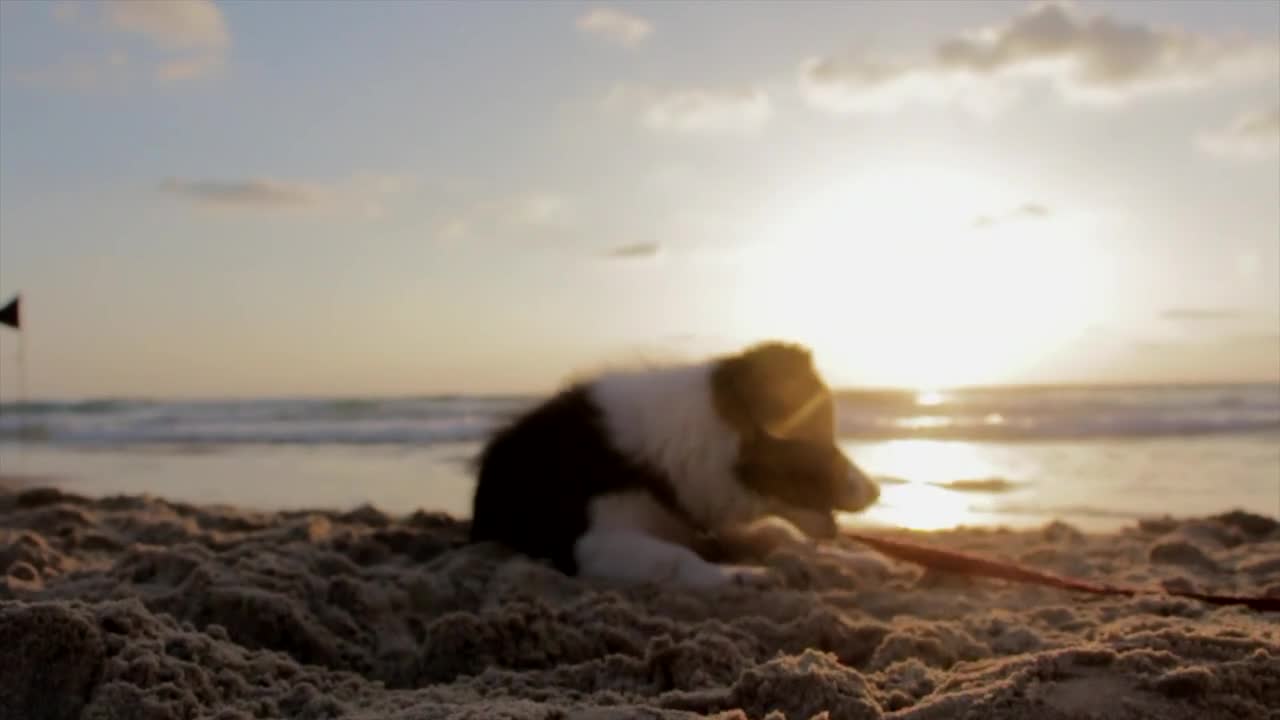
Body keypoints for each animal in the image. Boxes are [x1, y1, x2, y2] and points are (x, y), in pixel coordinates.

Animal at [471, 340, 880, 584]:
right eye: (823, 437)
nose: (877, 491)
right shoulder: (590, 542)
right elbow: (676, 559)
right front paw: (742, 576)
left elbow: (783, 537)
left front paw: (857, 561)